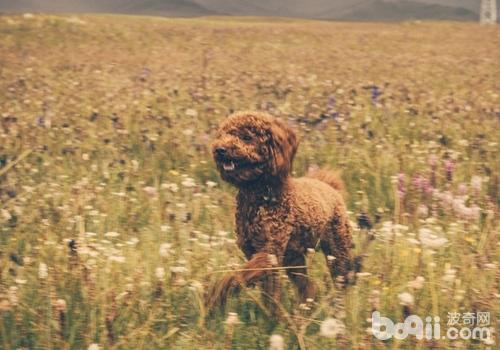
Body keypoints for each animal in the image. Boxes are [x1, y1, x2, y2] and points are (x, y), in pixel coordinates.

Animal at [207, 110, 356, 308]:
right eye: (224, 134)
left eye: (247, 137)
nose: (220, 150)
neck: (258, 195)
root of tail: (330, 186)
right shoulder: (254, 252)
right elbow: (261, 287)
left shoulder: (269, 251)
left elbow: (239, 278)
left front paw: (216, 295)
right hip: (294, 258)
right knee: (308, 287)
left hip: (337, 248)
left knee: (341, 281)